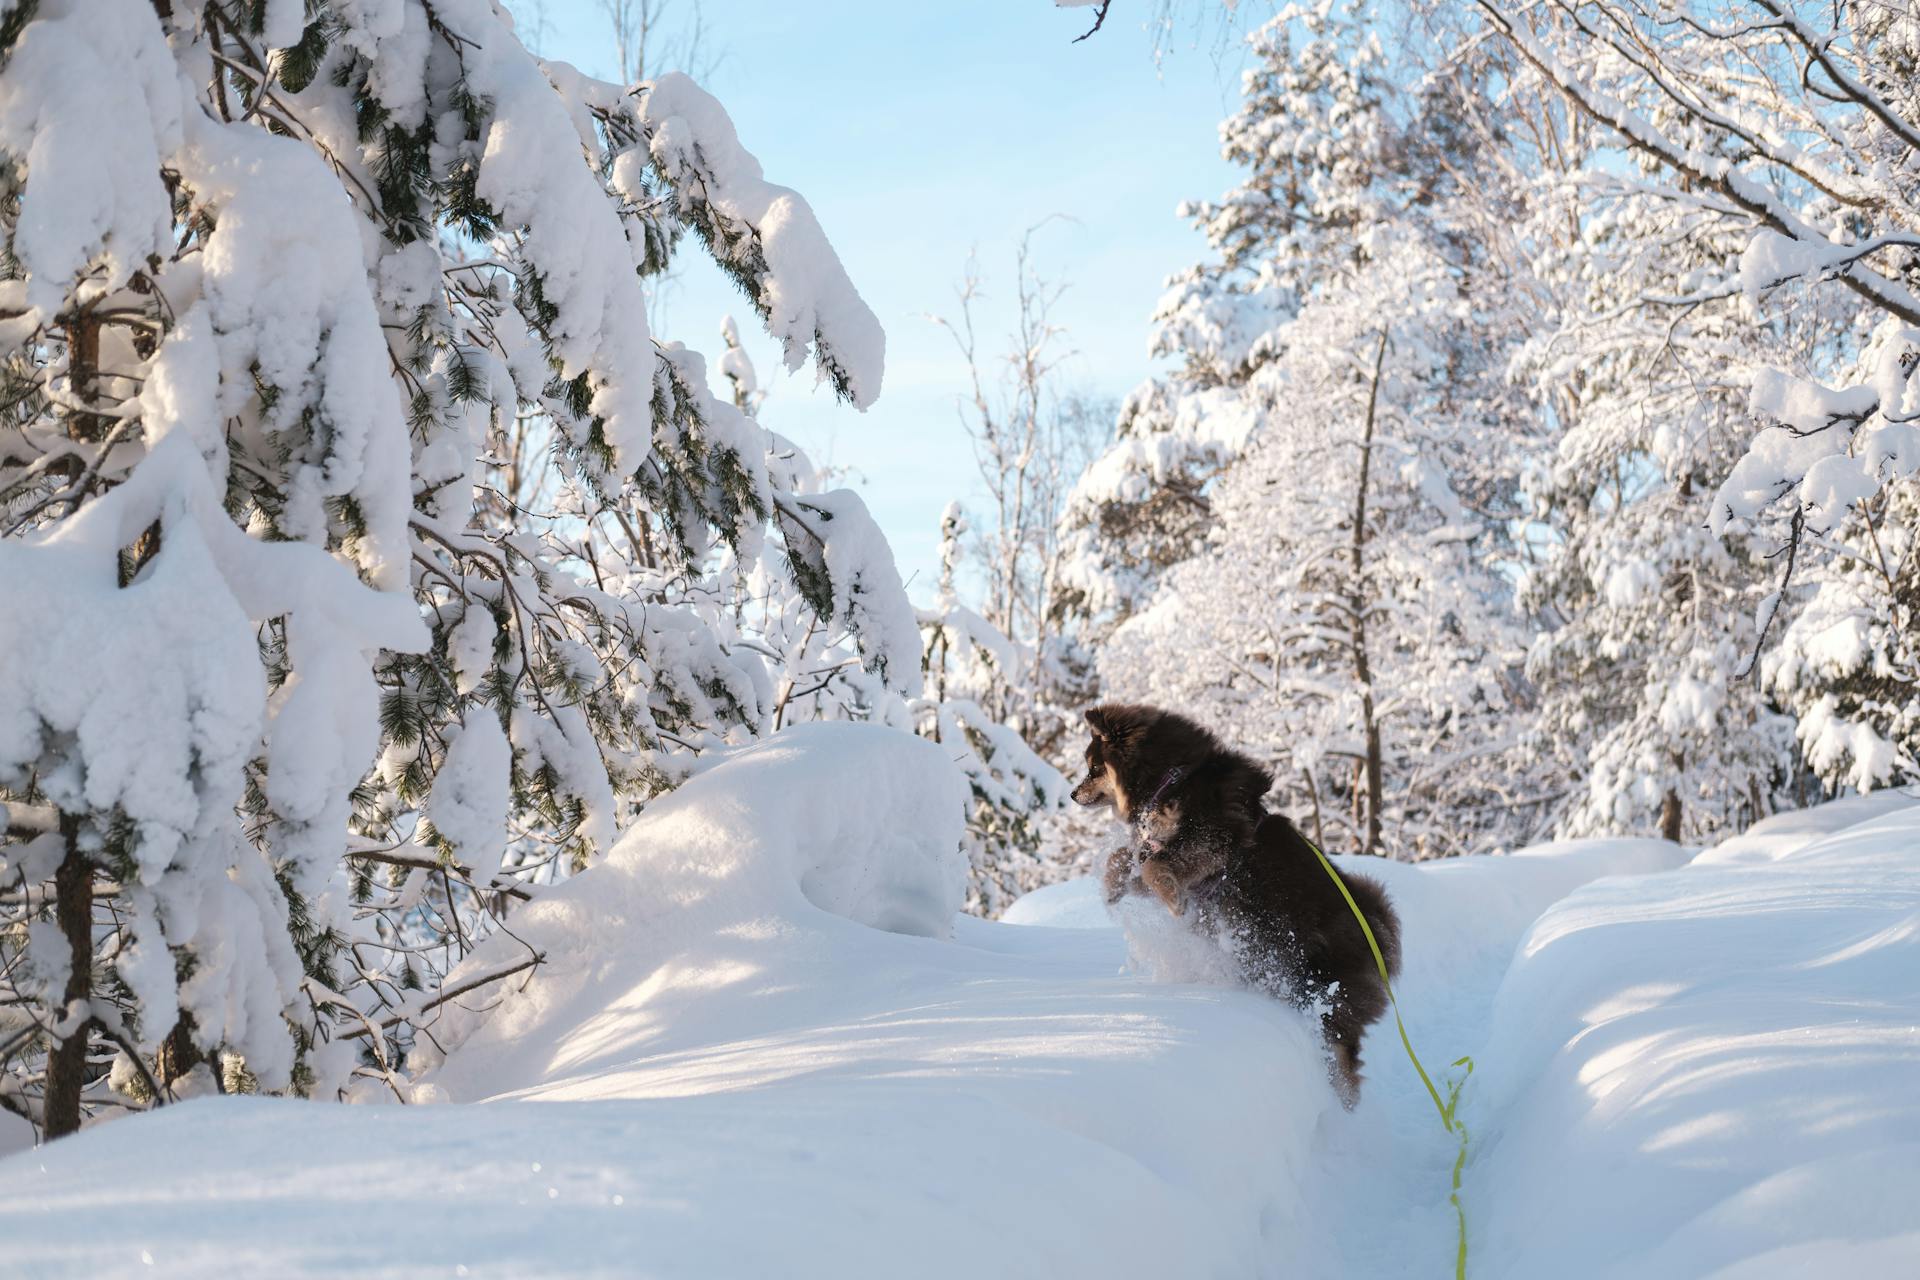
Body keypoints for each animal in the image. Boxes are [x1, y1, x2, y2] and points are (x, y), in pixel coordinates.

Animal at [1075, 706, 1405, 1105]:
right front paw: (1112, 887)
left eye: (1093, 767)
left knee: (1343, 1057)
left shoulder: (1212, 841)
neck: (1170, 781)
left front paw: (1173, 902)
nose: (1073, 794)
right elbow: (1130, 858)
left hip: (1321, 992)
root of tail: (1379, 936)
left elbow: (1154, 867)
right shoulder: (1182, 864)